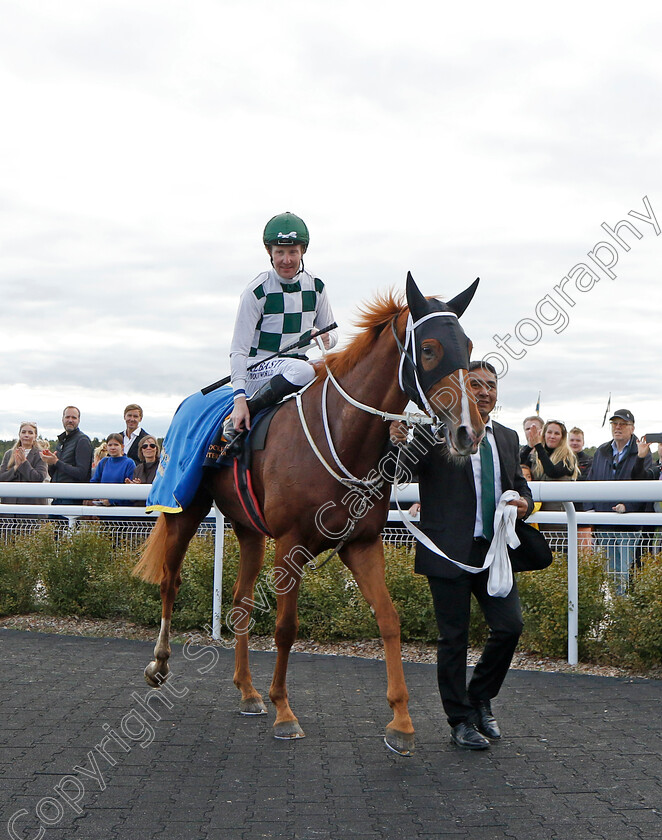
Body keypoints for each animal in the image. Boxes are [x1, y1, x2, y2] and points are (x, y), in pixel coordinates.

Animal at [136, 274, 488, 756]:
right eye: (430, 349)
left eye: (467, 345)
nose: (469, 431)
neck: (342, 434)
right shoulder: (291, 544)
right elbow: (286, 627)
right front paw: (284, 711)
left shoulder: (362, 544)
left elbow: (389, 619)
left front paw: (401, 721)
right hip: (184, 509)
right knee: (169, 582)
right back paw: (160, 665)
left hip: (248, 529)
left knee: (240, 602)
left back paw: (247, 691)